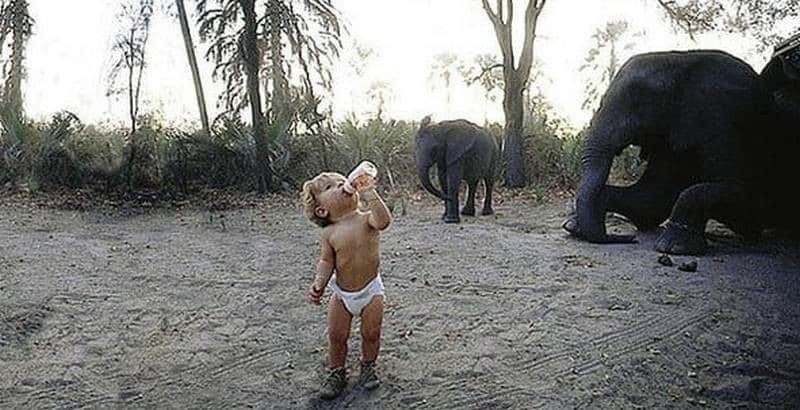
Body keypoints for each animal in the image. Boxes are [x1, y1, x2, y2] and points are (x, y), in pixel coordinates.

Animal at [564, 36, 800, 253]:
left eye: (636, 104)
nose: (628, 238)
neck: (680, 61)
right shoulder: (672, 136)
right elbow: (650, 200)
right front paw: (575, 225)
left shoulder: (726, 120)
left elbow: (746, 198)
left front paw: (674, 248)